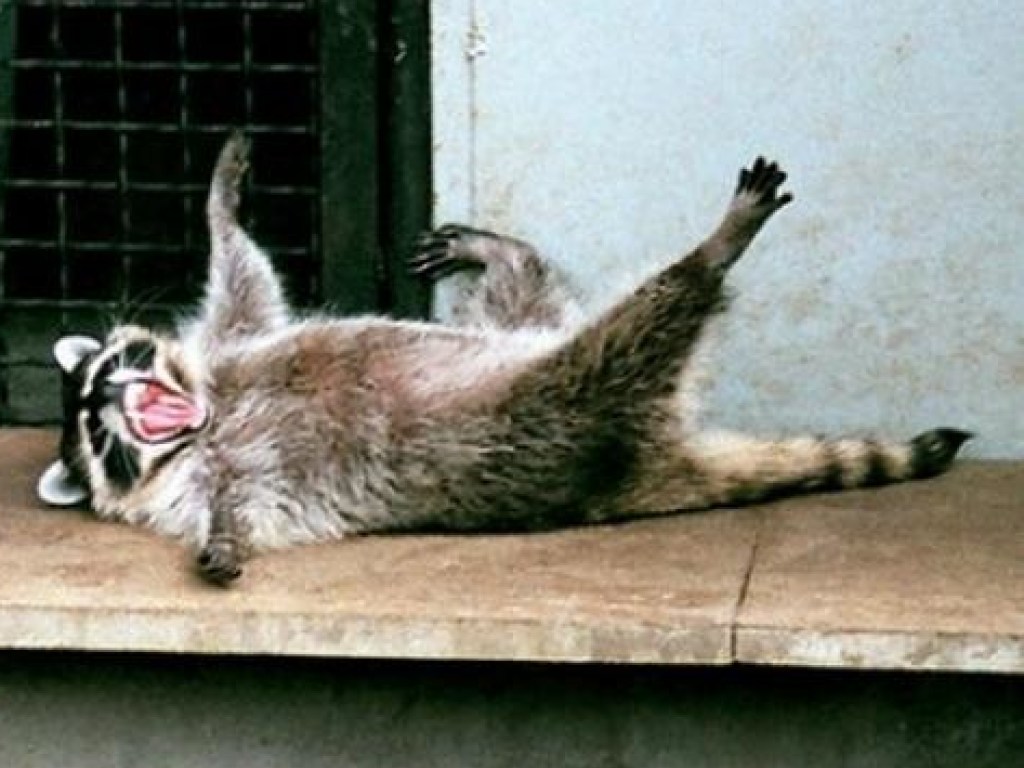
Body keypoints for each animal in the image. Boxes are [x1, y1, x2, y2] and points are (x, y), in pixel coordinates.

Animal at [37, 135, 970, 585]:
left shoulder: (234, 341)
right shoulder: (211, 474)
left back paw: (521, 250)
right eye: (98, 435)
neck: (207, 416)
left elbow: (246, 276)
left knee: (533, 293)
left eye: (112, 367)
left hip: (526, 350)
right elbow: (241, 503)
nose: (110, 392)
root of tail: (651, 461)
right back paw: (708, 257)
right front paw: (225, 536)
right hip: (563, 409)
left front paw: (221, 200)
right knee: (632, 330)